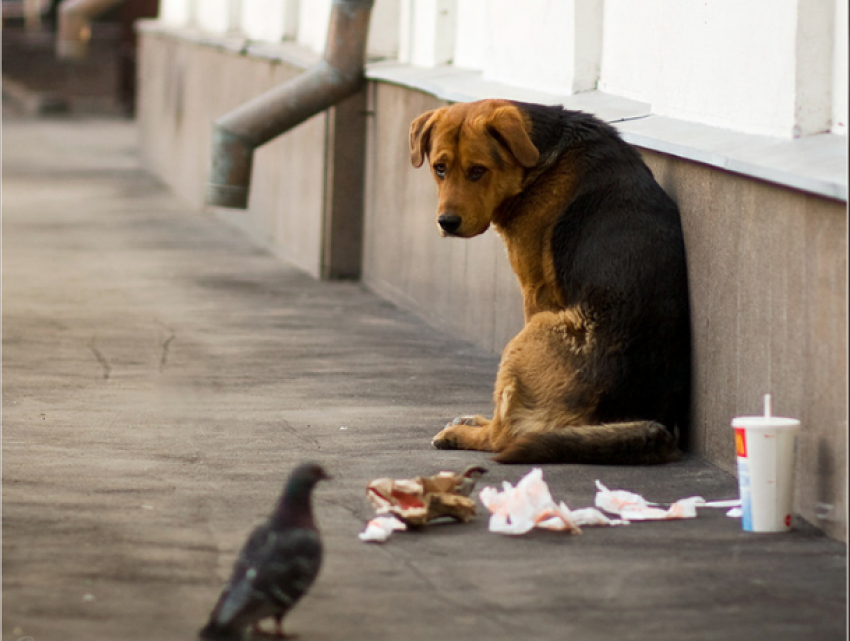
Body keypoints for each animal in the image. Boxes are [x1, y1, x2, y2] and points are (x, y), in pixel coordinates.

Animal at [410, 97, 688, 462]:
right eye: (439, 168)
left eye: (478, 171)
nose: (447, 223)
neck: (538, 161)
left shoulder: (534, 290)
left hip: (533, 331)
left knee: (503, 434)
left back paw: (464, 434)